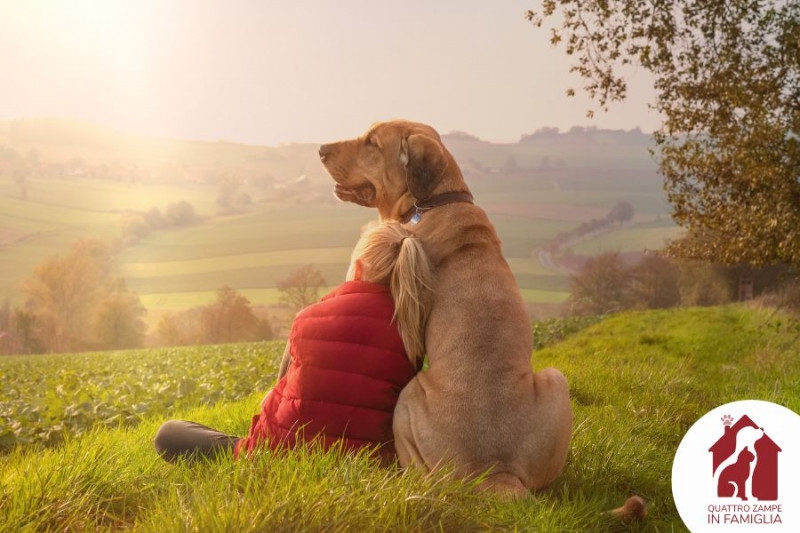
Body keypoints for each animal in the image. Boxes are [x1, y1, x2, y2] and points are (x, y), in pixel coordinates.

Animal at [316, 119, 572, 494]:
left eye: (372, 143)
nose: (320, 149)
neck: (433, 201)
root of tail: (496, 471)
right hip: (557, 379)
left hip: (409, 397)